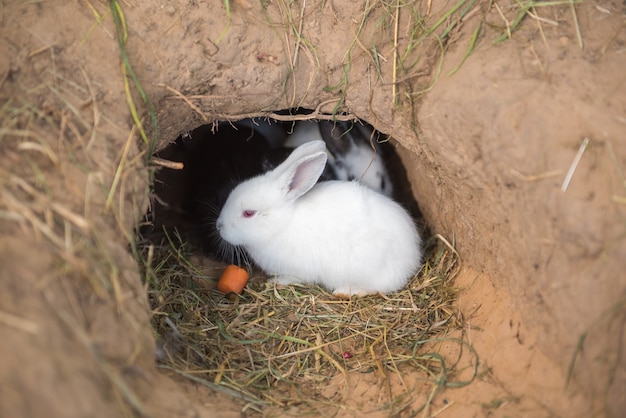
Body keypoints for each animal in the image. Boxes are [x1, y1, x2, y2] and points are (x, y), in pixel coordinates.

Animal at [213, 139, 420, 296]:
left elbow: (291, 278)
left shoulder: (296, 270)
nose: (219, 226)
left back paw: (345, 291)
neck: (281, 225)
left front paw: (275, 282)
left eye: (248, 213)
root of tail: (413, 257)